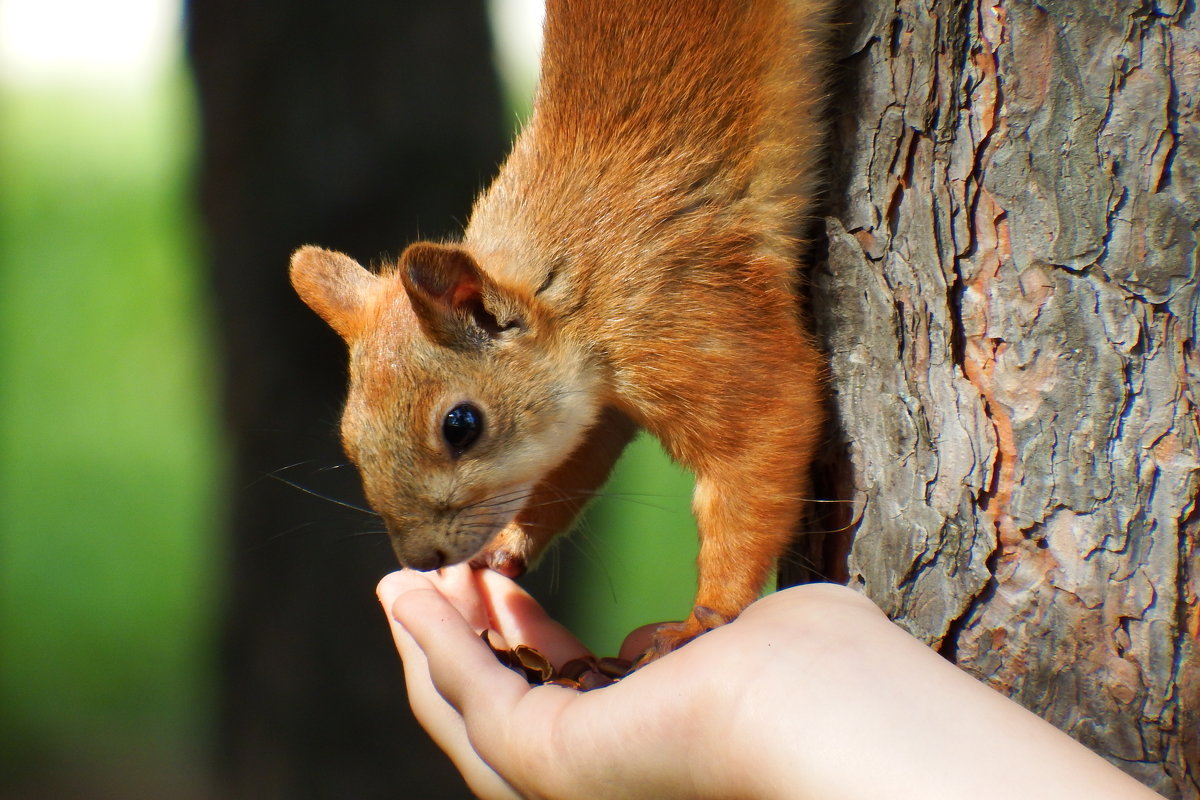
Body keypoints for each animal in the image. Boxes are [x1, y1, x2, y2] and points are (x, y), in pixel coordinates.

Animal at [291, 0, 835, 657]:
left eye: (460, 426)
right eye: (350, 439)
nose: (423, 560)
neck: (568, 291)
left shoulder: (686, 310)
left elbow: (764, 428)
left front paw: (704, 618)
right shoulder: (592, 406)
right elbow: (572, 464)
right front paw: (505, 548)